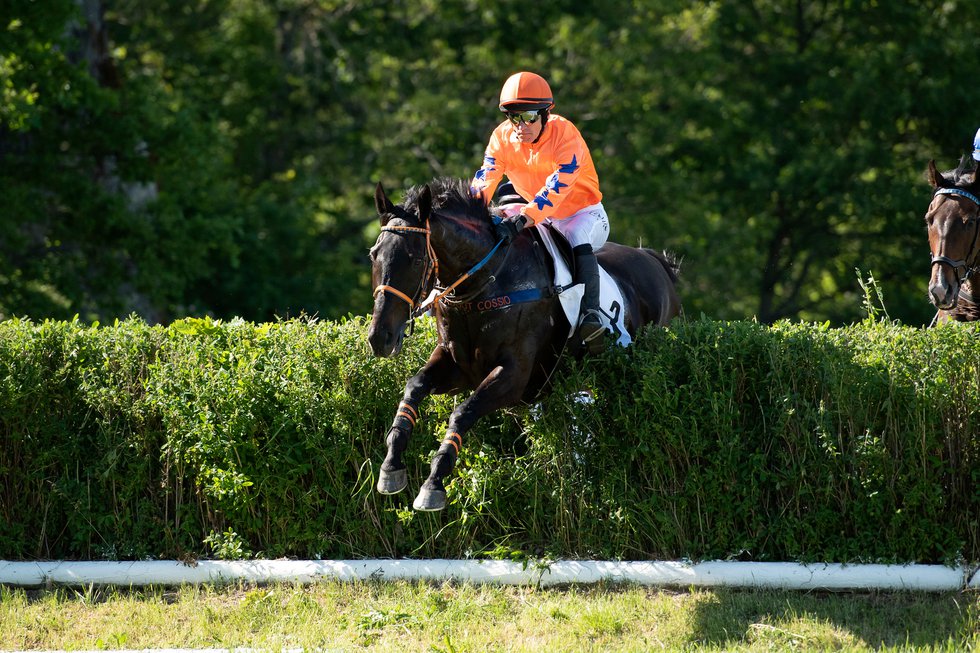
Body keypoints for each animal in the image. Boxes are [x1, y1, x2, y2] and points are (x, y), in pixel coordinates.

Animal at [368, 177, 680, 510]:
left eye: (414, 259)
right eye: (374, 254)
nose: (379, 337)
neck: (486, 280)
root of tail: (655, 261)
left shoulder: (514, 375)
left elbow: (463, 412)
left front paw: (433, 485)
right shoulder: (458, 366)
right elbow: (414, 387)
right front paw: (390, 468)